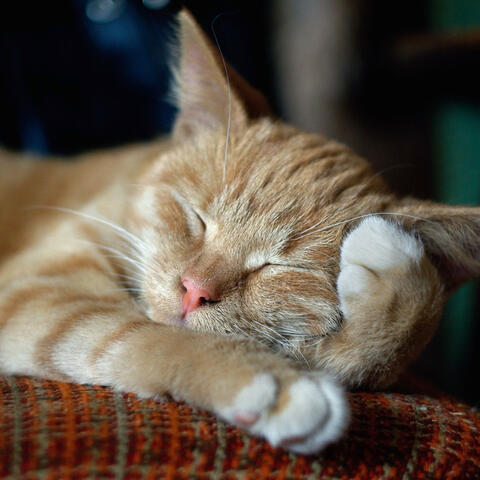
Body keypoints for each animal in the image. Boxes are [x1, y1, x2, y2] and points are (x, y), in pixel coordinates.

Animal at [0, 10, 480, 454]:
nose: (194, 290)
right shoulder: (31, 289)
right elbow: (140, 332)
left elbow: (367, 358)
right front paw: (270, 383)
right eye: (197, 218)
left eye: (278, 267)